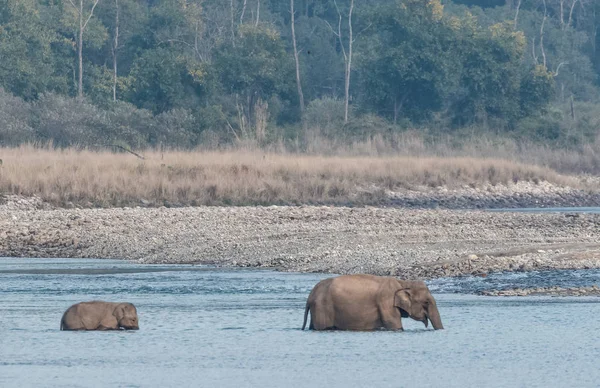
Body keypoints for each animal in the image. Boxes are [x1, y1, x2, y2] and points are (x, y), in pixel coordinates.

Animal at [302, 276, 442, 330]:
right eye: (426, 302)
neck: (403, 282)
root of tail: (310, 295)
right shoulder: (386, 302)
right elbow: (394, 324)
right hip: (323, 308)